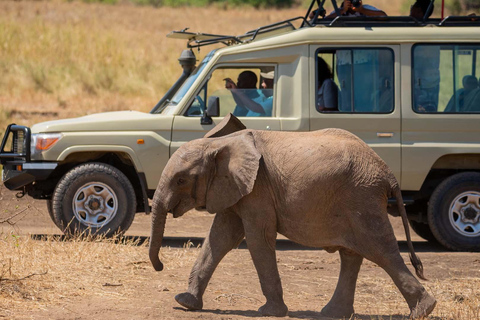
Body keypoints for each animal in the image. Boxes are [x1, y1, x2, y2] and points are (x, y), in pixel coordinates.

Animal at [148, 114, 436, 318]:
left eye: (181, 180)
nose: (160, 266)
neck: (218, 144)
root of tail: (388, 173)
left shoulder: (258, 189)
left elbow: (257, 239)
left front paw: (270, 313)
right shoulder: (236, 189)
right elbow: (219, 239)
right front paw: (184, 302)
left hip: (362, 197)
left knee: (381, 250)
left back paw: (424, 310)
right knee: (352, 254)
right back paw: (332, 314)